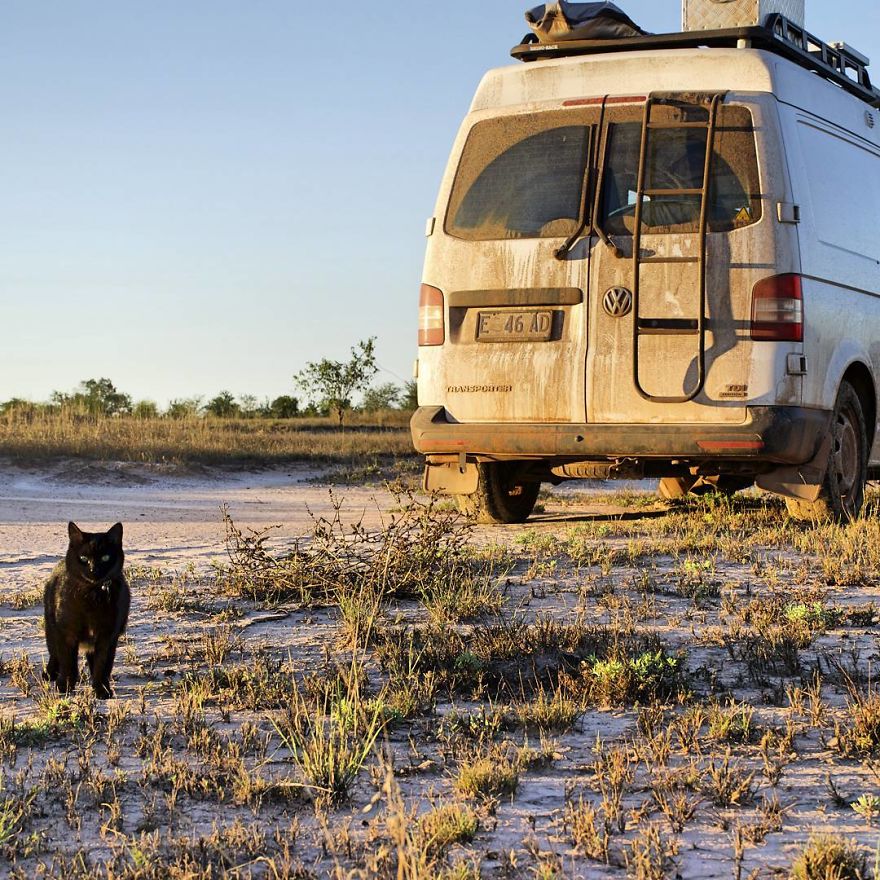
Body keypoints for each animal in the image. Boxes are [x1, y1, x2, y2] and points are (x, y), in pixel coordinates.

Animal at [44, 524, 131, 700]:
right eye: (84, 558)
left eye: (105, 557)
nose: (93, 569)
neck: (92, 594)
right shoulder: (66, 633)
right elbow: (68, 662)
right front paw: (65, 687)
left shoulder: (107, 636)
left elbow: (102, 665)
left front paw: (101, 690)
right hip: (51, 627)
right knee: (54, 653)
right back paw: (50, 673)